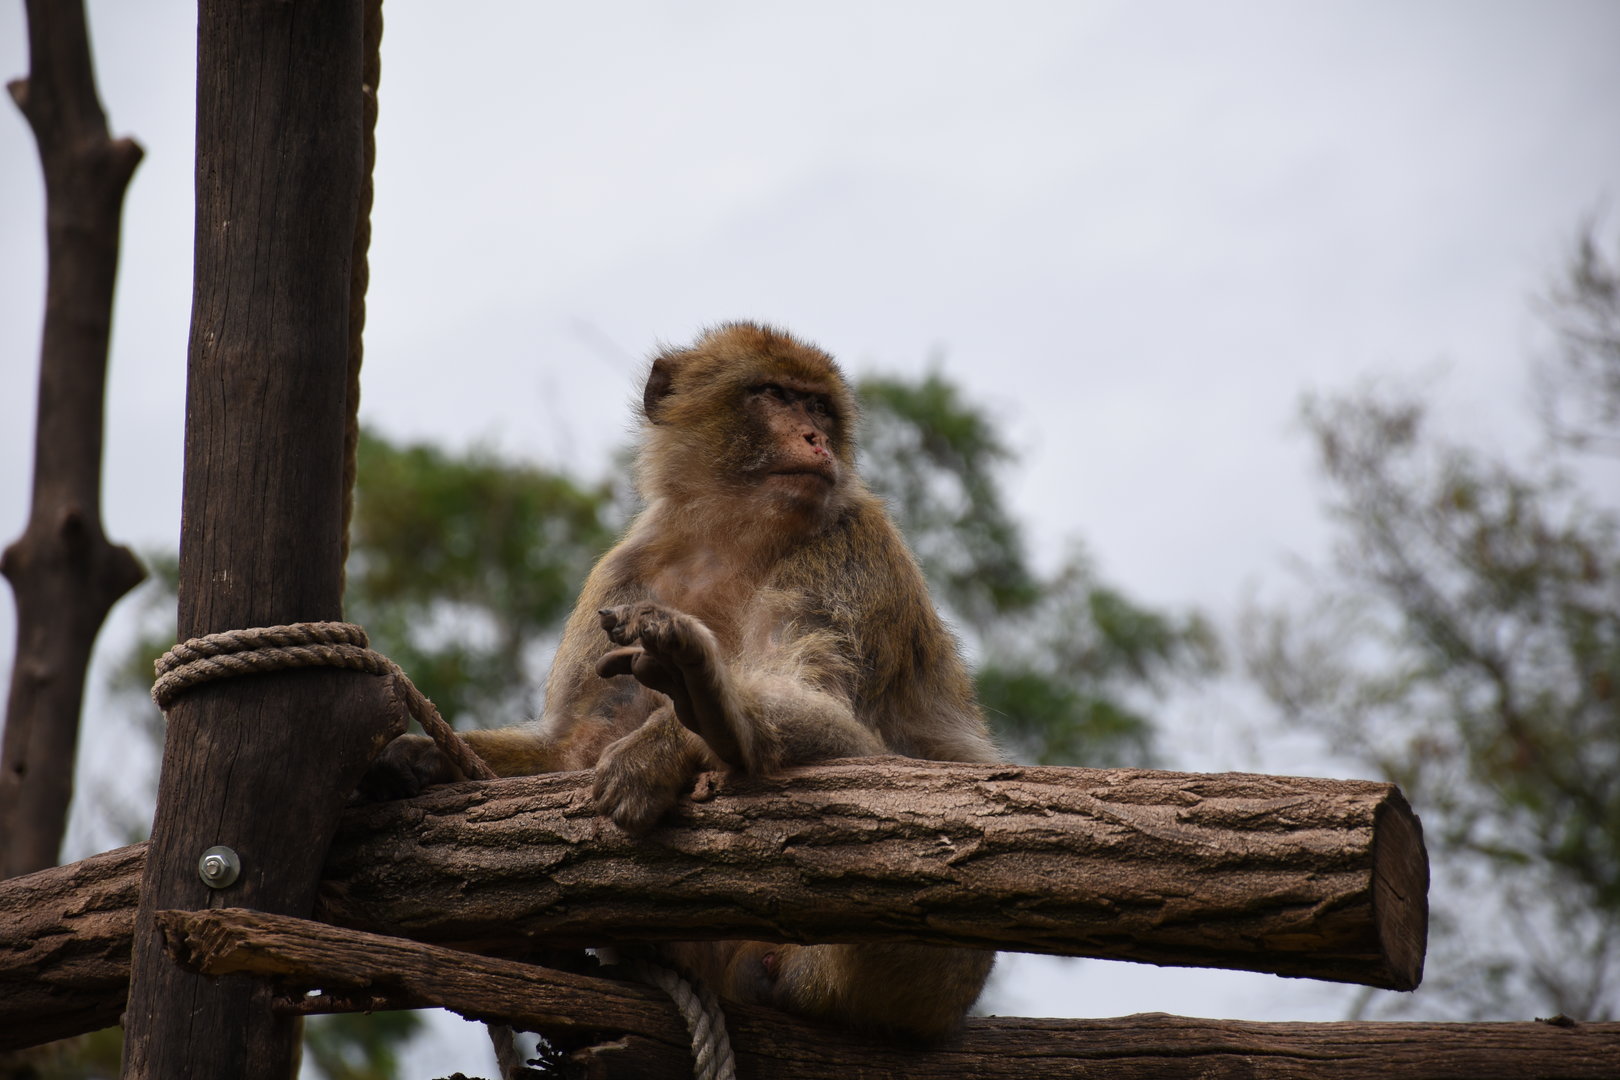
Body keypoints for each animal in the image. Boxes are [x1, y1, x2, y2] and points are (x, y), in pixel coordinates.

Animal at [365, 322, 998, 1041]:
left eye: (818, 407)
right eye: (773, 395)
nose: (815, 439)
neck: (730, 537)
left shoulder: (850, 546)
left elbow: (847, 735)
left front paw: (679, 735)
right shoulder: (622, 577)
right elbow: (571, 750)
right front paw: (418, 758)